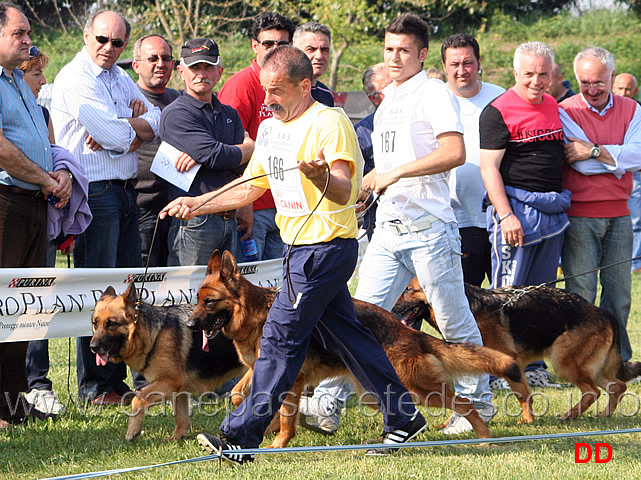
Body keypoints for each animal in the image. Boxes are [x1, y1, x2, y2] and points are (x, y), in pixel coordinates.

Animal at [91, 284, 246, 442]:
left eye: (111, 324)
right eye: (95, 324)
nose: (93, 347)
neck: (154, 335)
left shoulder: (168, 382)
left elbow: (137, 399)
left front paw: (132, 431)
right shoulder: (178, 389)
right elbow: (181, 418)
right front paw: (176, 438)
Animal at [188, 249, 524, 448]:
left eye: (210, 302)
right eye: (197, 300)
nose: (190, 325)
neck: (253, 312)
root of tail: (409, 332)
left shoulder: (291, 378)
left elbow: (284, 415)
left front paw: (277, 443)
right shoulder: (258, 369)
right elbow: (238, 394)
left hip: (418, 388)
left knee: (464, 403)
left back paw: (483, 438)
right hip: (375, 392)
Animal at [392, 278, 636, 424]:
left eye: (408, 290)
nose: (391, 309)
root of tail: (602, 311)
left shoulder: (511, 364)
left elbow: (521, 394)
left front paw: (528, 420)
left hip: (564, 362)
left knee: (593, 391)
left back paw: (571, 415)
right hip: (588, 367)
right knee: (617, 386)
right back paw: (604, 415)